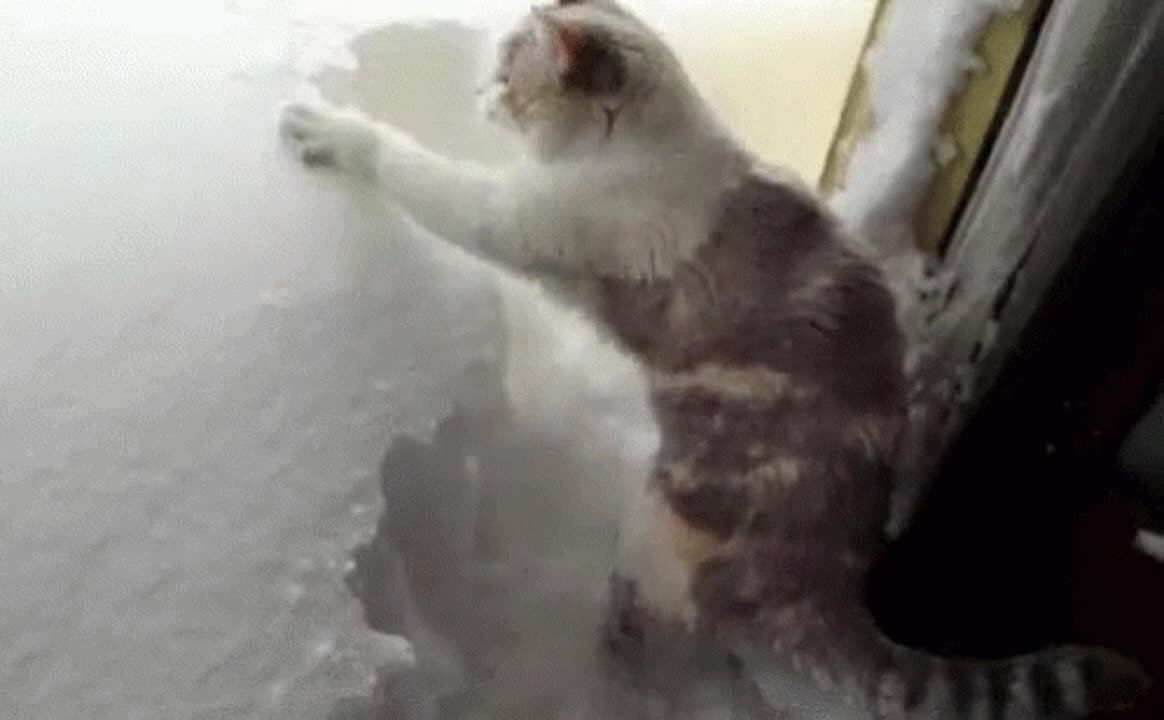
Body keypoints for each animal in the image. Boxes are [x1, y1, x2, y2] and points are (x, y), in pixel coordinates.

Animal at [278, 0, 1150, 716]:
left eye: (507, 75)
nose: (479, 96)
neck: (644, 147)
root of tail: (836, 584)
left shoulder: (519, 218)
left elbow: (412, 168)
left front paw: (326, 131)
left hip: (654, 538)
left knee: (649, 635)